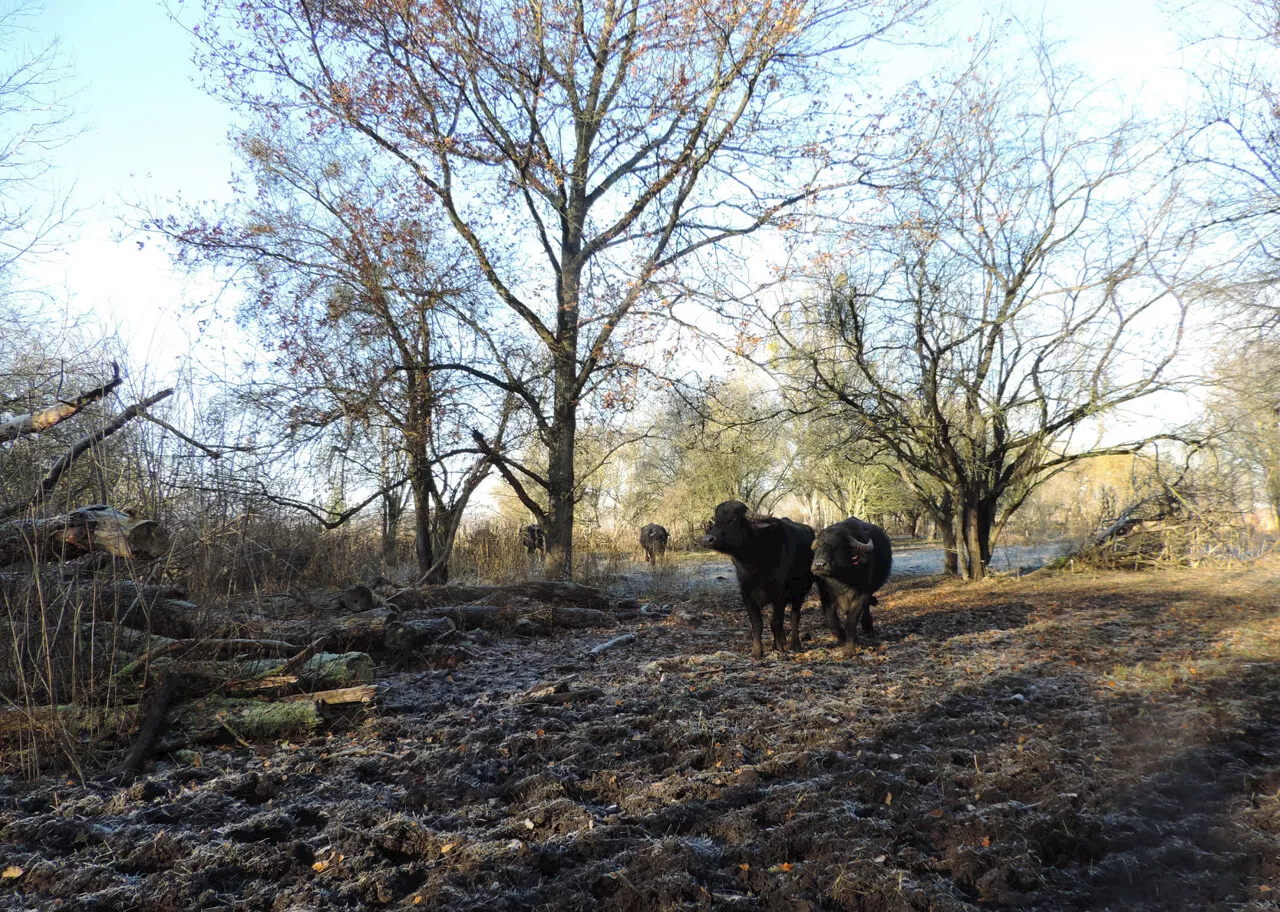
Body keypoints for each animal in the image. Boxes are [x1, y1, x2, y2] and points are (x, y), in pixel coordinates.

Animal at [696, 502, 814, 660]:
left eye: (733, 519)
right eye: (715, 518)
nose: (707, 540)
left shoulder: (780, 596)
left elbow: (775, 622)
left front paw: (780, 649)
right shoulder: (746, 595)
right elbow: (757, 623)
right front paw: (757, 652)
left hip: (800, 593)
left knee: (795, 616)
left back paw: (795, 644)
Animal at [814, 517, 896, 660]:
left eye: (839, 546)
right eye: (819, 545)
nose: (819, 564)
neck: (841, 581)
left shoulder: (861, 595)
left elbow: (851, 622)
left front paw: (849, 650)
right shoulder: (825, 596)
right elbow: (832, 622)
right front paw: (843, 640)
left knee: (866, 608)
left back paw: (868, 626)